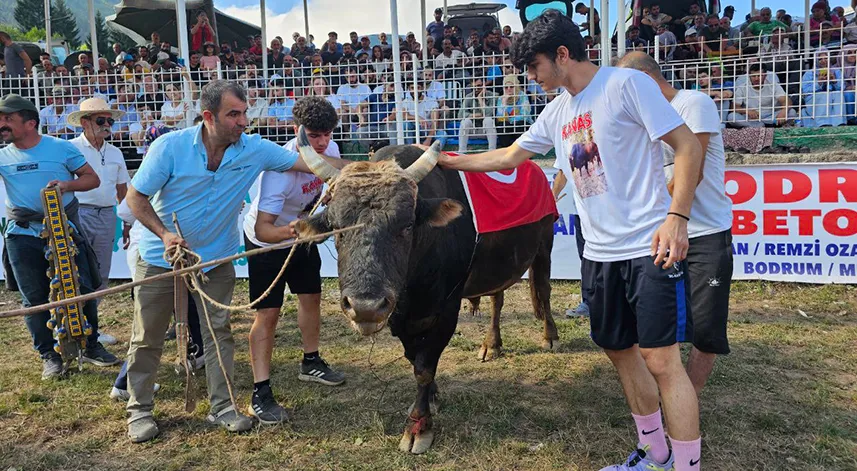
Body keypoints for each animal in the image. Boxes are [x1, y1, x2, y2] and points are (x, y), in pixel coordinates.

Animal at [294, 131, 560, 456]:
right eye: (335, 227)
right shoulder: (400, 316)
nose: (365, 306)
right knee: (497, 298)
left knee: (544, 290)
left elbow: (424, 366)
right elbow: (414, 358)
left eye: (407, 225)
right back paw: (491, 344)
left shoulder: (445, 310)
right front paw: (431, 396)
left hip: (544, 243)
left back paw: (549, 336)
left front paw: (418, 427)